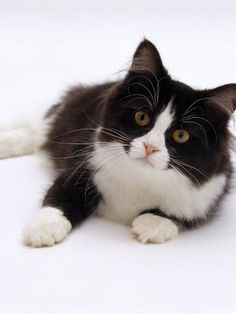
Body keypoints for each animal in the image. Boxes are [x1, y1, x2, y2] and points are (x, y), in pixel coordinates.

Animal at [1, 39, 234, 247]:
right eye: (142, 117)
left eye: (181, 135)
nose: (150, 147)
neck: (142, 176)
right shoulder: (83, 166)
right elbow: (61, 195)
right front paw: (44, 227)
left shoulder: (208, 194)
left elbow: (184, 214)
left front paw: (153, 223)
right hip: (54, 120)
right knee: (33, 130)